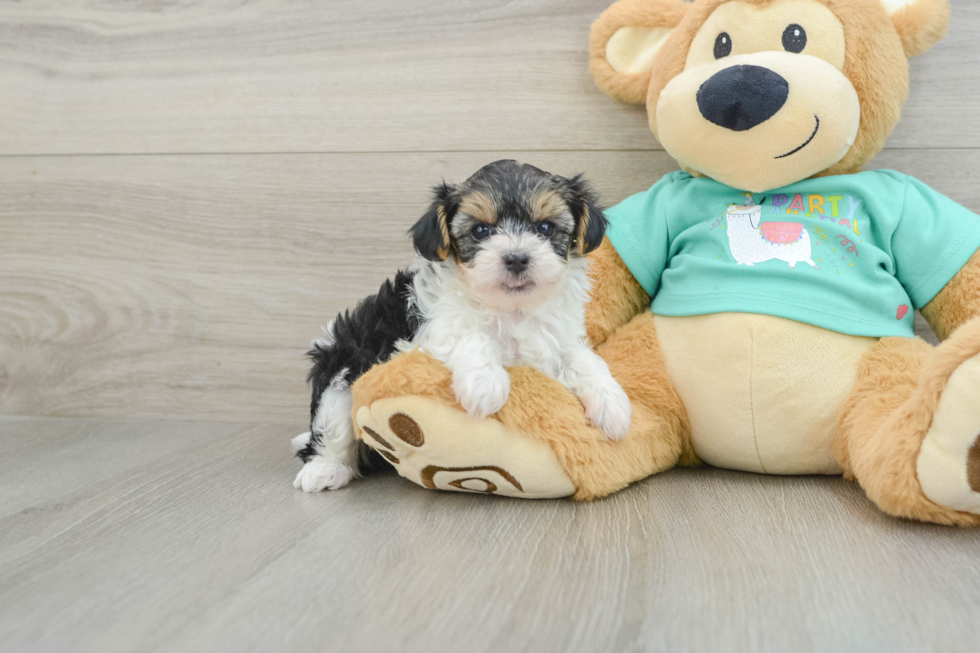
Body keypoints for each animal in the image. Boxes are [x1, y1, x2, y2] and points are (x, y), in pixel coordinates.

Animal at [290, 160, 632, 492]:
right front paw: (485, 385)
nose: (516, 258)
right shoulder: (425, 334)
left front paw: (612, 403)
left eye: (545, 227)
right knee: (330, 431)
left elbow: (582, 358)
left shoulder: (558, 339)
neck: (512, 310)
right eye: (481, 230)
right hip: (341, 372)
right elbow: (472, 336)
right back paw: (324, 469)